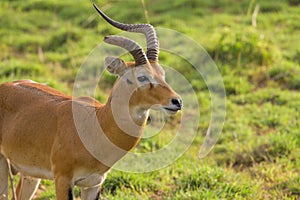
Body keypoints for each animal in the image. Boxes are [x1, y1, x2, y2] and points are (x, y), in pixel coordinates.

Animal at [0, 3, 182, 199]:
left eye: (162, 73)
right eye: (141, 77)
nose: (176, 101)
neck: (97, 123)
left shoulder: (94, 183)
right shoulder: (63, 179)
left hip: (30, 176)